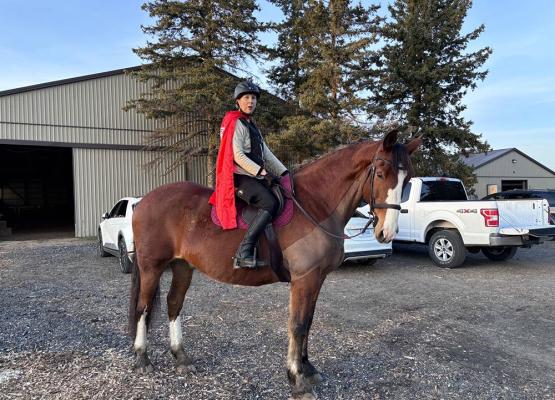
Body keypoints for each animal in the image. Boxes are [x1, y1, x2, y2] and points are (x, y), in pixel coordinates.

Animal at [127, 130, 422, 398]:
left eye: (407, 180)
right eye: (381, 174)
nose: (387, 232)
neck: (315, 205)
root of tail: (143, 201)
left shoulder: (316, 278)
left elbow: (308, 321)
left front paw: (308, 368)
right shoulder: (304, 279)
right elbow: (298, 325)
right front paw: (297, 380)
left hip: (182, 266)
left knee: (174, 304)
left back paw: (181, 357)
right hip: (152, 266)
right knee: (143, 307)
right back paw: (142, 358)